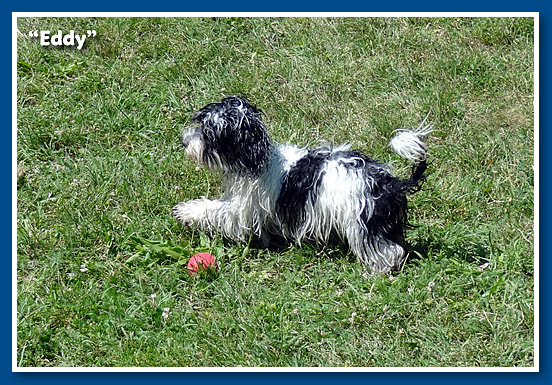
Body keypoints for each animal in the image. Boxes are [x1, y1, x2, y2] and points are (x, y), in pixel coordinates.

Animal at [172, 95, 432, 272]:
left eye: (209, 133)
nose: (185, 141)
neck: (258, 160)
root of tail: (389, 183)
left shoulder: (242, 210)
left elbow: (216, 210)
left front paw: (186, 211)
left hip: (364, 224)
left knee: (389, 250)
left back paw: (379, 270)